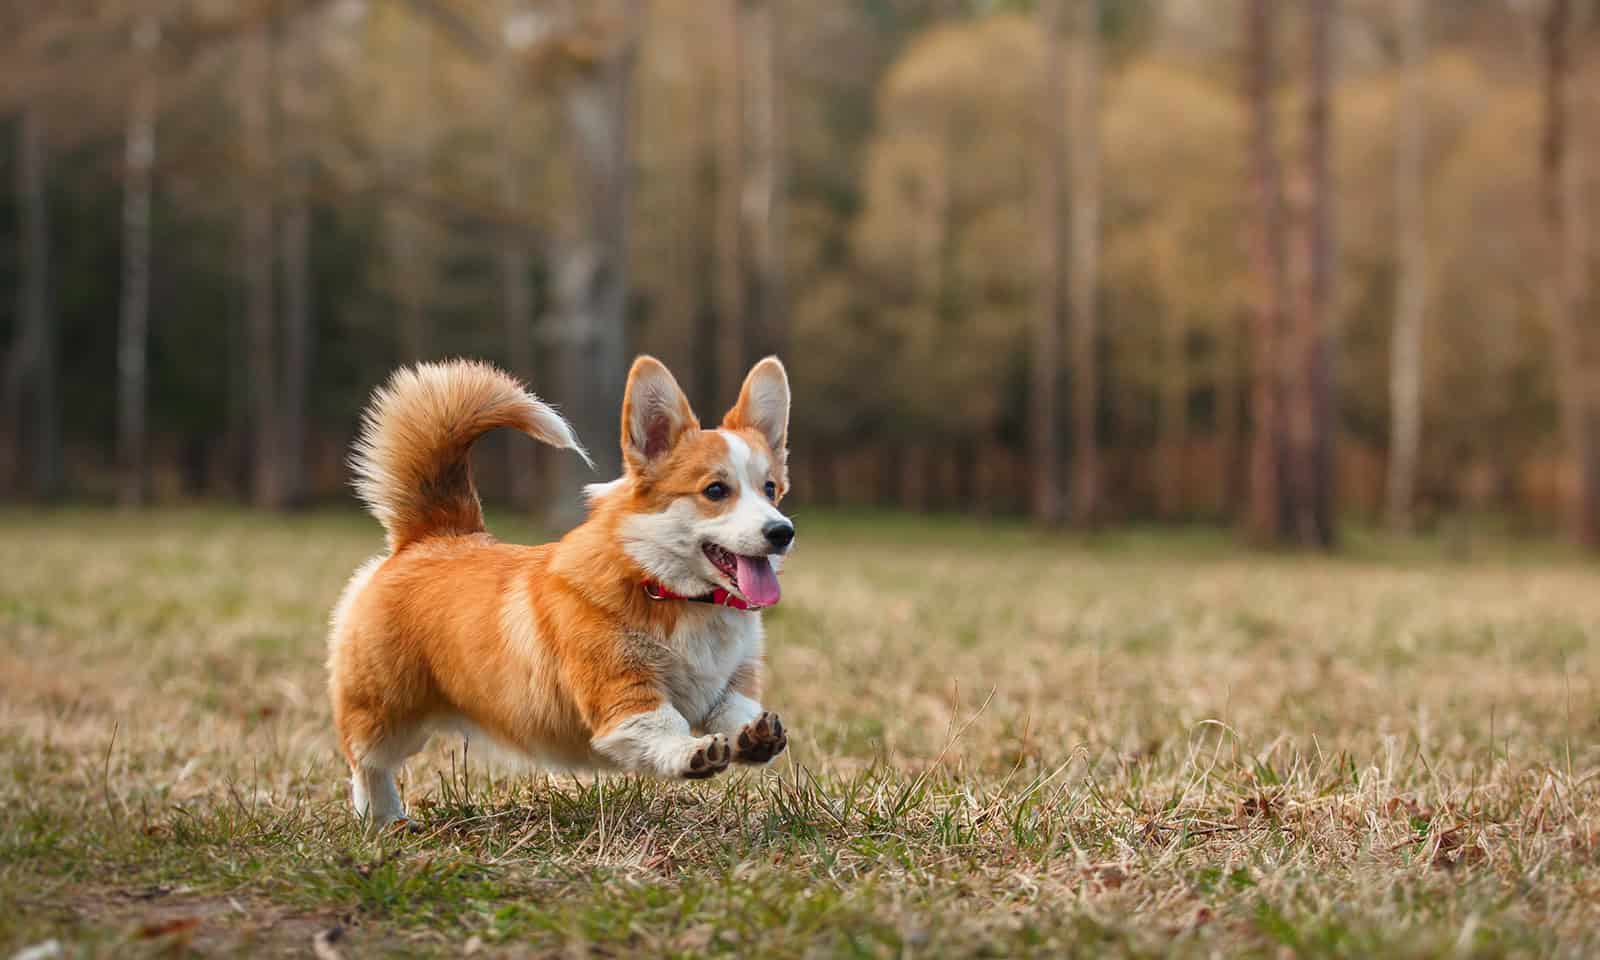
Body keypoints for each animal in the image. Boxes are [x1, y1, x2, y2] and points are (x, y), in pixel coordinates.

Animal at [326, 356, 793, 825]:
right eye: (715, 490)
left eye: (770, 489)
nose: (782, 532)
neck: (673, 591)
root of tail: (431, 535)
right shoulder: (624, 693)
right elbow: (663, 725)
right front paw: (689, 752)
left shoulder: (732, 683)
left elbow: (736, 711)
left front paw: (755, 736)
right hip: (385, 711)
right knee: (366, 761)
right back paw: (383, 819)